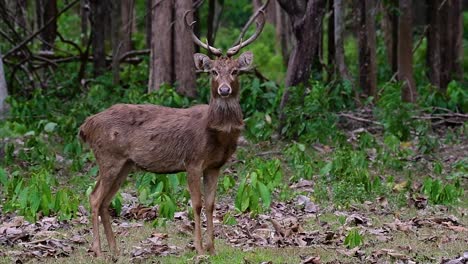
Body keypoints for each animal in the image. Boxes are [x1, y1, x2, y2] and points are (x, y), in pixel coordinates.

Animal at [79, 2, 268, 258]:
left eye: (235, 71)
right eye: (213, 71)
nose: (224, 89)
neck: (217, 133)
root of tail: (86, 126)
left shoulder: (215, 166)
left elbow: (212, 204)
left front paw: (212, 247)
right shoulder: (193, 160)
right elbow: (196, 204)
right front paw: (199, 248)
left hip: (125, 163)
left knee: (105, 200)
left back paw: (115, 249)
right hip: (108, 156)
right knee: (94, 197)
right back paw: (99, 250)